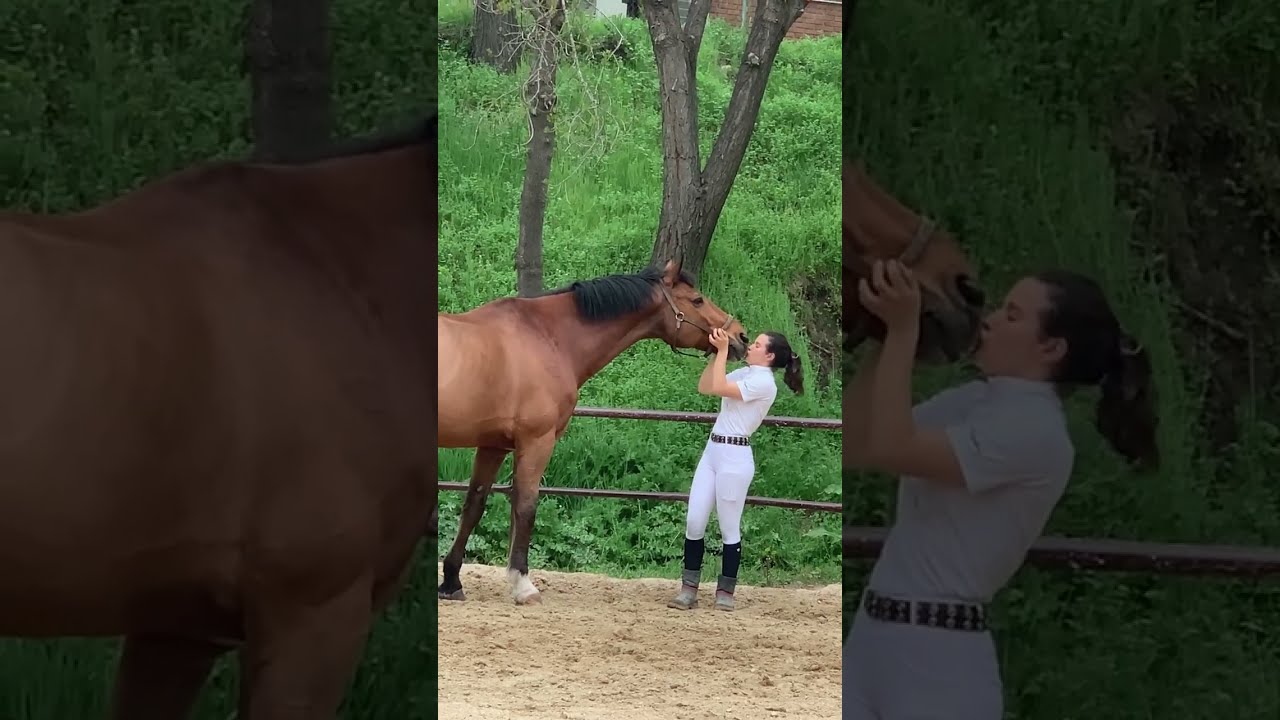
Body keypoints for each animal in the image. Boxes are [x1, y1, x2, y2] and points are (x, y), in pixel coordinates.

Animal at [437, 260, 748, 605]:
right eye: (697, 300)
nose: (740, 336)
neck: (547, 337)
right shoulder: (537, 441)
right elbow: (526, 506)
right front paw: (523, 585)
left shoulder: (493, 445)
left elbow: (474, 506)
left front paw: (451, 581)